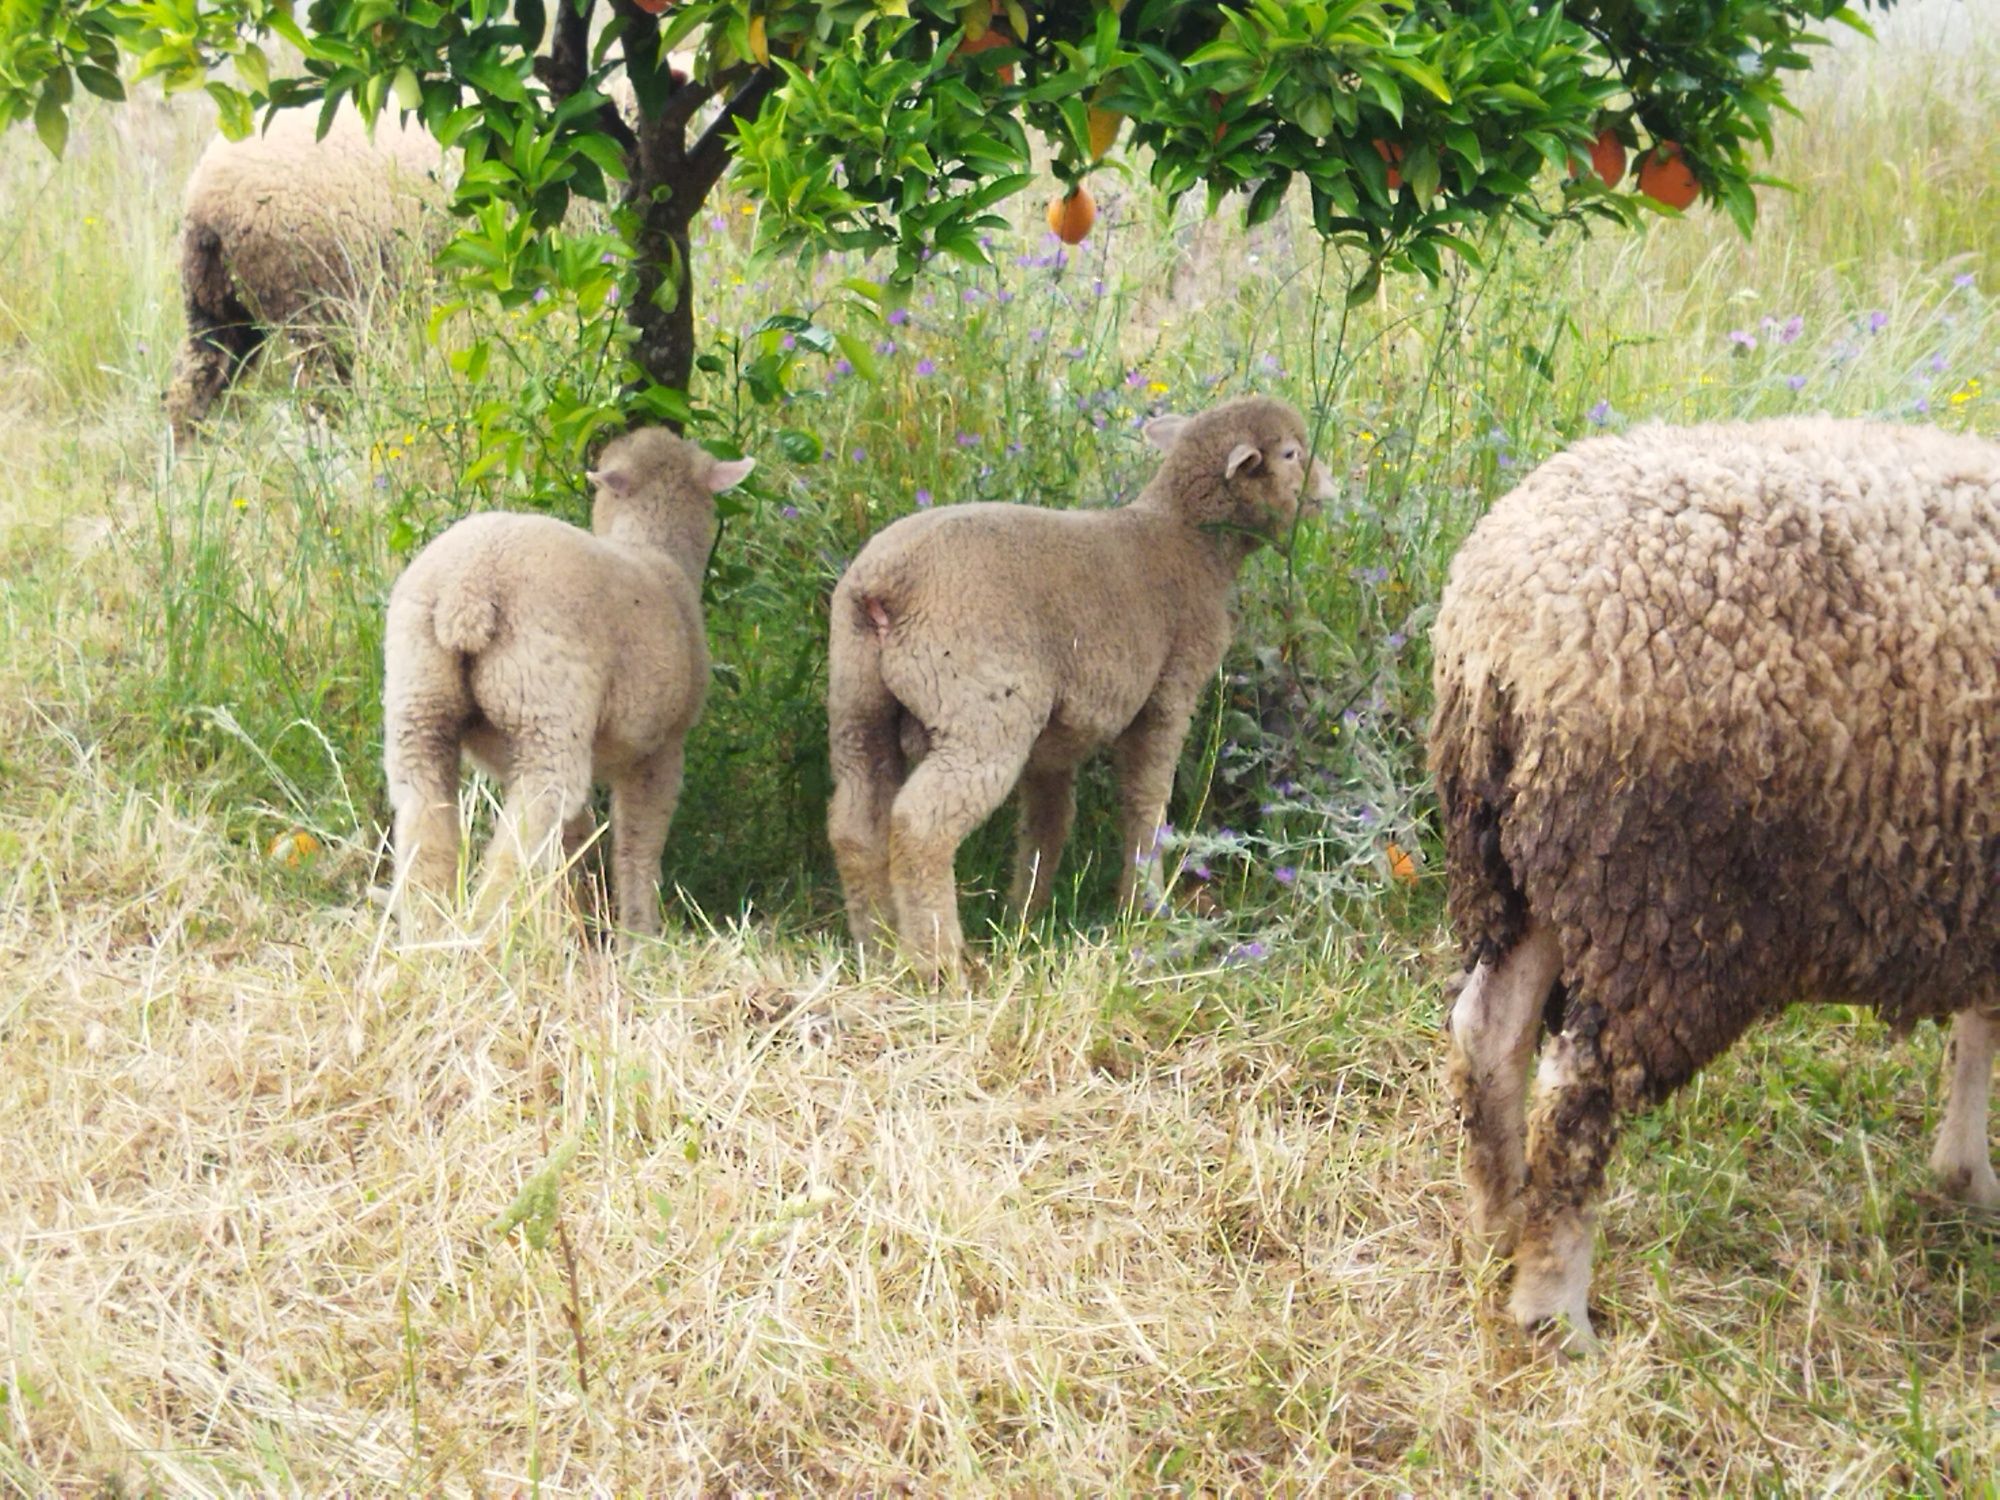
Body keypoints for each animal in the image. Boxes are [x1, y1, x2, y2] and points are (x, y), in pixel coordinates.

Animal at [376, 426, 752, 940]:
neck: (655, 551)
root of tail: (468, 588)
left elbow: (574, 840)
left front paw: (576, 922)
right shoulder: (660, 747)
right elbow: (637, 845)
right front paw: (638, 936)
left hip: (419, 701)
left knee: (424, 820)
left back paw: (430, 935)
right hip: (544, 710)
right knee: (528, 827)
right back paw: (492, 931)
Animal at [820, 394, 1336, 980]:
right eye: (1292, 454)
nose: (1331, 490)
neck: (1188, 539)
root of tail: (886, 583)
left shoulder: (1056, 736)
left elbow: (1049, 821)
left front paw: (1025, 917)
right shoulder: (1169, 692)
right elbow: (1145, 800)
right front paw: (1143, 906)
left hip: (858, 702)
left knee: (855, 822)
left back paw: (878, 948)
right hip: (981, 711)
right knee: (920, 824)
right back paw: (941, 962)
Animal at [1432, 418, 2000, 1360]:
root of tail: (1505, 624)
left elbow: (1978, 1028)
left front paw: (1965, 1177)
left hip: (1538, 866)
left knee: (1487, 1036)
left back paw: (1495, 1227)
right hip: (1666, 901)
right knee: (1577, 1096)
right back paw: (1555, 1311)